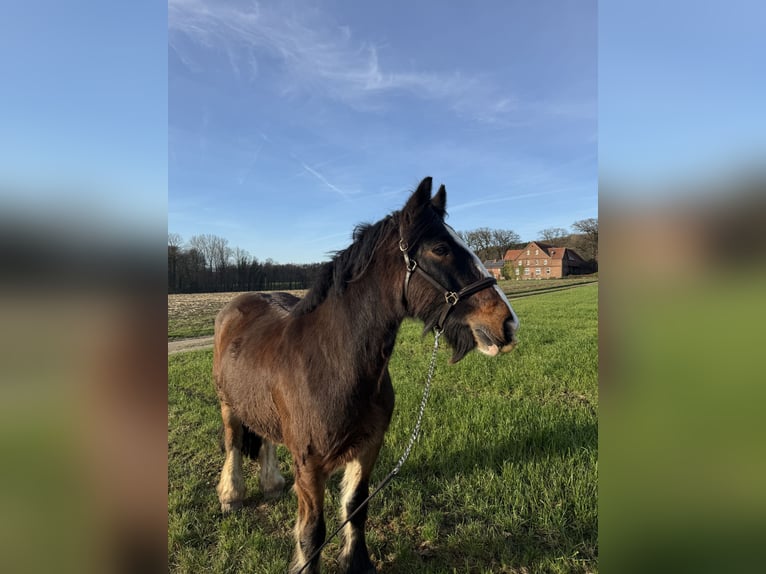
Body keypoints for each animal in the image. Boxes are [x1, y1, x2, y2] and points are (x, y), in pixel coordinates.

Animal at [213, 177, 519, 573]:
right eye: (440, 248)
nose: (507, 323)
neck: (333, 365)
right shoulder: (309, 464)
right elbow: (312, 532)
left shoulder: (369, 447)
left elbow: (356, 508)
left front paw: (356, 562)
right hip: (227, 404)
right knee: (234, 441)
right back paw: (231, 495)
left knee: (264, 436)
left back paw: (271, 482)